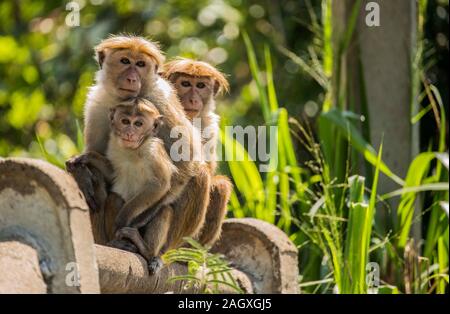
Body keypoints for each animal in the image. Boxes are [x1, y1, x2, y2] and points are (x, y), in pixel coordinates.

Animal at [66, 35, 210, 272]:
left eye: (141, 64)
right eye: (125, 61)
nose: (132, 78)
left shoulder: (161, 98)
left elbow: (184, 164)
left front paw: (139, 220)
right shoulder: (97, 103)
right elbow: (97, 158)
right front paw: (81, 170)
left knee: (199, 174)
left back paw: (152, 251)